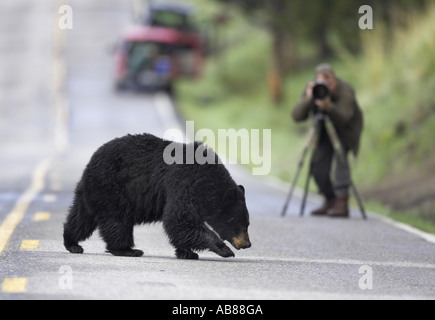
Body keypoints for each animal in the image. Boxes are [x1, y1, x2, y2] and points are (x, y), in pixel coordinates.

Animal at [62, 133, 250, 260]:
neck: (205, 180)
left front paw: (187, 252)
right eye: (241, 224)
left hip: (91, 192)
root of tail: (90, 162)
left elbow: (180, 224)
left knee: (81, 217)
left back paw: (72, 243)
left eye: (247, 224)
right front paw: (224, 249)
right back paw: (127, 250)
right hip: (112, 188)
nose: (247, 244)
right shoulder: (182, 184)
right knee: (118, 220)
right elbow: (179, 219)